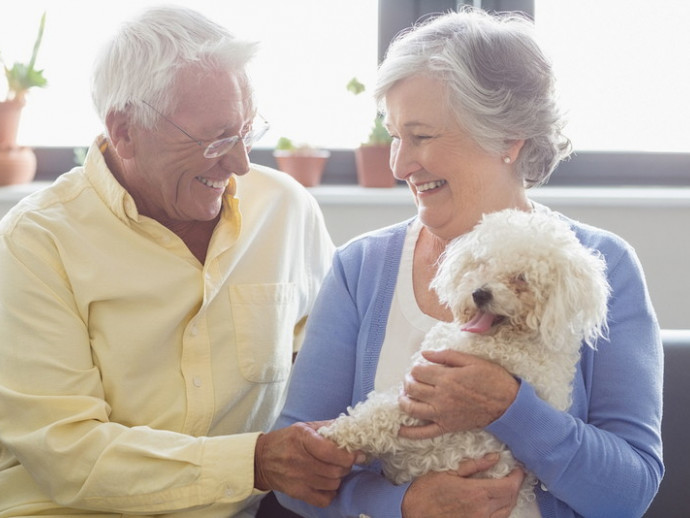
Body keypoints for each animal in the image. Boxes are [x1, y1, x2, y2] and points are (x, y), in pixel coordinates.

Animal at [318, 209, 608, 516]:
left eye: (521, 278)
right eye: (482, 263)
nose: (480, 293)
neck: (508, 340)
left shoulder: (424, 400)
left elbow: (378, 416)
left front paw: (336, 435)